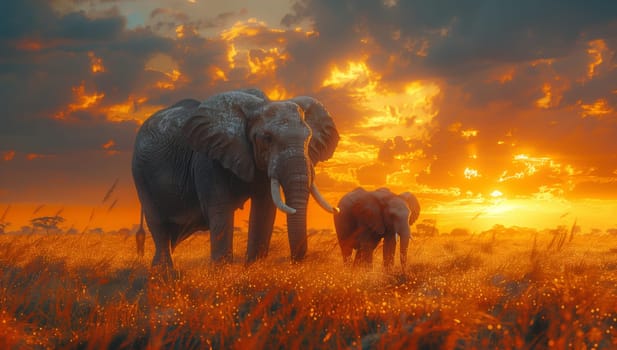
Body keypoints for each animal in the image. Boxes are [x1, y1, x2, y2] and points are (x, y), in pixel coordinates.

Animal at [132, 89, 340, 270]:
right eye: (267, 138)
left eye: (309, 139)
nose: (337, 209)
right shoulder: (209, 156)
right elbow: (221, 209)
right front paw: (221, 274)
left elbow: (264, 210)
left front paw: (253, 271)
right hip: (140, 173)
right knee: (158, 226)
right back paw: (164, 275)